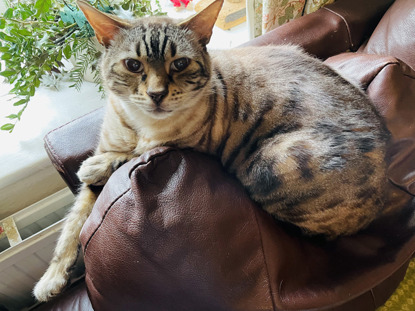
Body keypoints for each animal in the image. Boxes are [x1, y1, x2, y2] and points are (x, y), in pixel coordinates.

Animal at [32, 0, 390, 302]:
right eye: (133, 65)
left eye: (179, 63)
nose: (156, 94)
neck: (139, 126)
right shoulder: (100, 166)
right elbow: (71, 227)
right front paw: (52, 279)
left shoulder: (177, 145)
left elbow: (117, 162)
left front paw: (98, 165)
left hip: (267, 165)